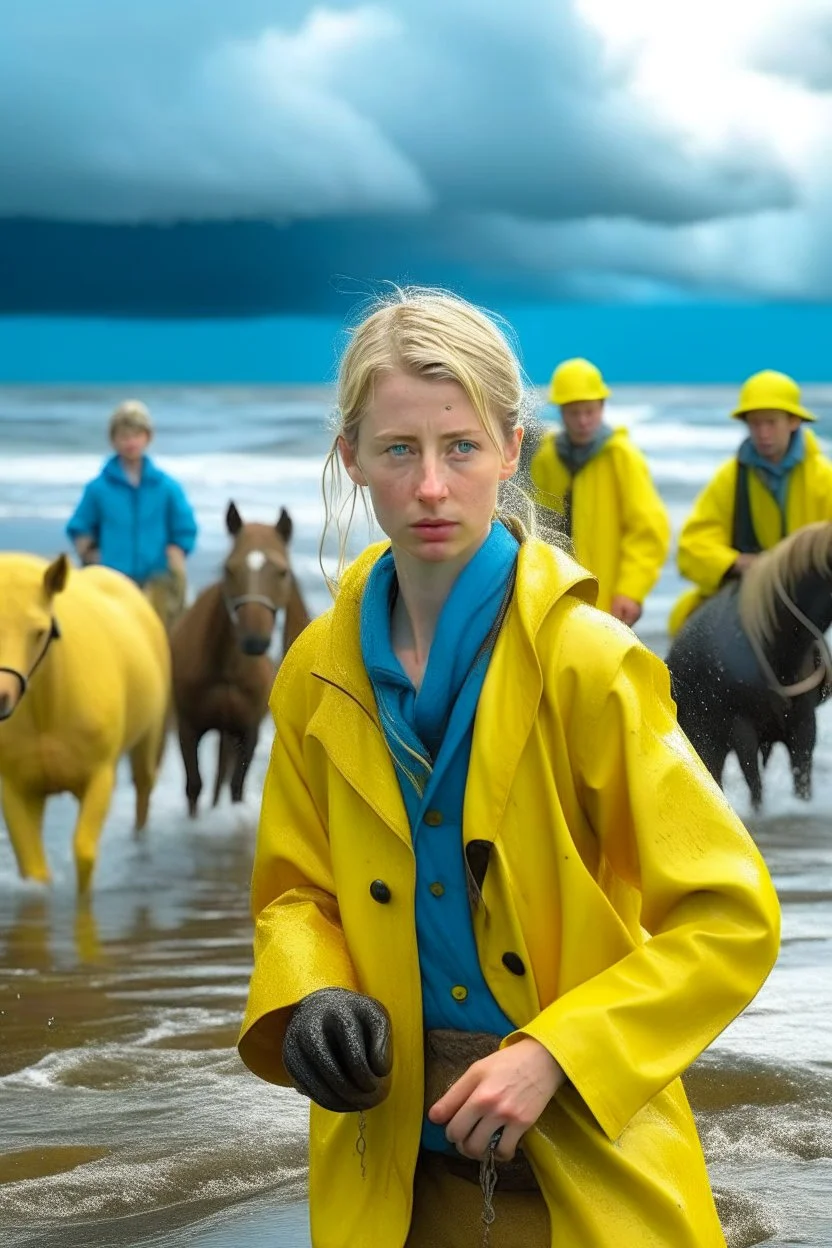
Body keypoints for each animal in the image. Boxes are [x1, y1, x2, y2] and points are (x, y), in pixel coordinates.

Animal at [0, 554, 169, 888]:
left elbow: (84, 855)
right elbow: (35, 870)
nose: (0, 697)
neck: (47, 709)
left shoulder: (99, 777)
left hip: (149, 736)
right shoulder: (16, 788)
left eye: (39, 632)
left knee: (144, 787)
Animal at [169, 501, 311, 813]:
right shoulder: (188, 728)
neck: (225, 671)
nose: (254, 641)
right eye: (229, 569)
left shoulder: (248, 732)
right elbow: (193, 788)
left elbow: (236, 788)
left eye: (283, 571)